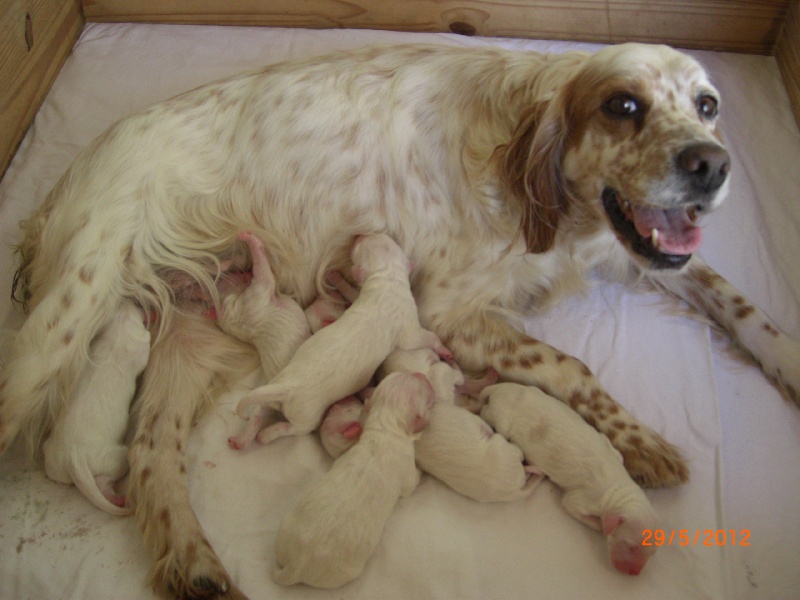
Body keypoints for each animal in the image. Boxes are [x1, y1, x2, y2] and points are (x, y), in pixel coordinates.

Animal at [42, 302, 152, 516]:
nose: (137, 302)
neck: (119, 328)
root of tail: (74, 459)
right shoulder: (139, 346)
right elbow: (146, 346)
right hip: (115, 457)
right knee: (104, 479)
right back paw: (116, 498)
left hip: (52, 460)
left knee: (61, 479)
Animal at [234, 232, 454, 448]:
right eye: (359, 246)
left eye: (379, 235)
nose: (359, 235)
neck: (387, 276)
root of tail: (287, 387)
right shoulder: (407, 324)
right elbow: (421, 338)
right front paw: (443, 349)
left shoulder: (363, 293)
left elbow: (351, 292)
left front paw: (336, 277)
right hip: (306, 415)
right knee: (292, 428)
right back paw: (267, 434)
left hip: (271, 392)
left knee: (258, 411)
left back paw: (244, 438)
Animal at [270, 372, 434, 588]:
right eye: (422, 389)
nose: (419, 373)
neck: (385, 426)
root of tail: (295, 566)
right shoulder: (405, 467)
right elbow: (411, 483)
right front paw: (422, 471)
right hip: (344, 573)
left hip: (286, 527)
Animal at [482, 382, 656, 576]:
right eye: (630, 546)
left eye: (651, 553)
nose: (635, 573)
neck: (621, 488)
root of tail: (499, 389)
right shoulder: (586, 499)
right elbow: (573, 506)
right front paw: (602, 526)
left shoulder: (617, 456)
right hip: (501, 419)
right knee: (487, 413)